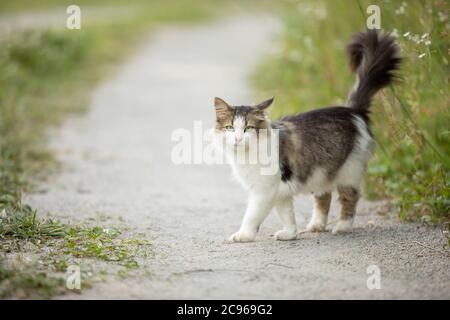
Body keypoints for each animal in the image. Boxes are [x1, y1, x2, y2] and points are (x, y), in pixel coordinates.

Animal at [214, 30, 400, 242]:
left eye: (248, 128)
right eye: (230, 128)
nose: (237, 139)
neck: (246, 156)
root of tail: (353, 111)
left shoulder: (264, 191)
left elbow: (252, 215)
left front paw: (243, 235)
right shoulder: (280, 191)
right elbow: (287, 214)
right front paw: (290, 234)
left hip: (349, 171)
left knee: (349, 199)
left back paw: (342, 227)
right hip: (320, 174)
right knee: (324, 198)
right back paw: (316, 226)